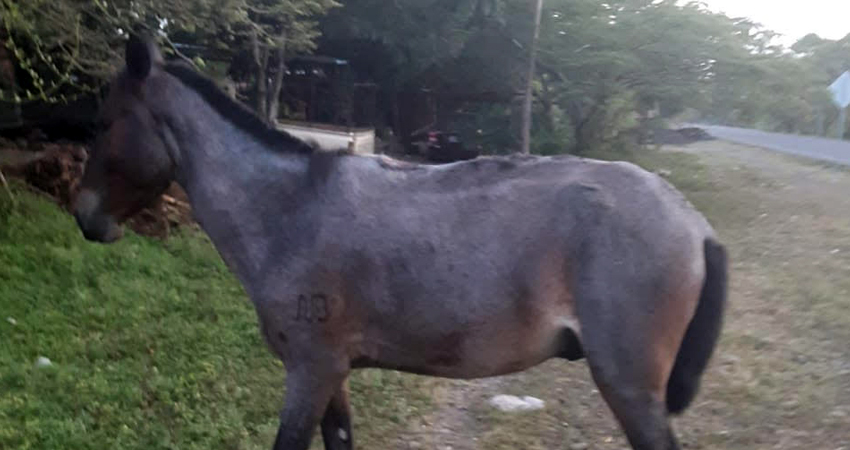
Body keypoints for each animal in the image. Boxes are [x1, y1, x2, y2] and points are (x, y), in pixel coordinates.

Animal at [71, 36, 728, 450]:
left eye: (104, 123)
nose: (84, 216)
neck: (291, 208)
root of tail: (694, 223)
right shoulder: (332, 375)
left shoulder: (308, 372)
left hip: (630, 387)